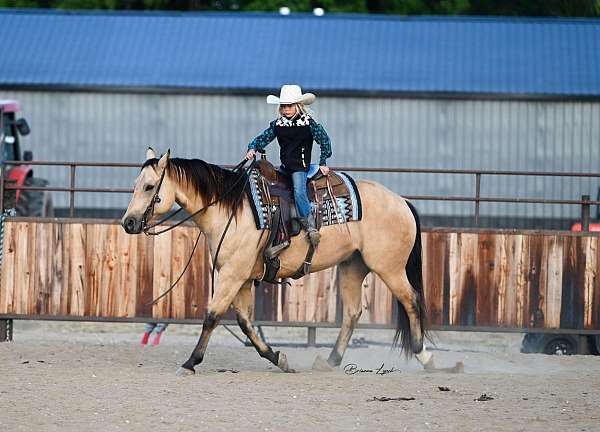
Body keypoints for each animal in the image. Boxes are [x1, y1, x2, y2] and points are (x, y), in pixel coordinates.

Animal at [120, 148, 436, 374]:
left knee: (411, 300)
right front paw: (277, 358)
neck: (231, 210)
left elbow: (212, 315)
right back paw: (331, 361)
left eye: (149, 187)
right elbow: (245, 322)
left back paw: (425, 356)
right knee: (352, 313)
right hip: (353, 266)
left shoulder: (232, 275)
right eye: (135, 185)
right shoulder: (242, 278)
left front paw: (190, 362)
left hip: (389, 268)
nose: (128, 222)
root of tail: (401, 201)